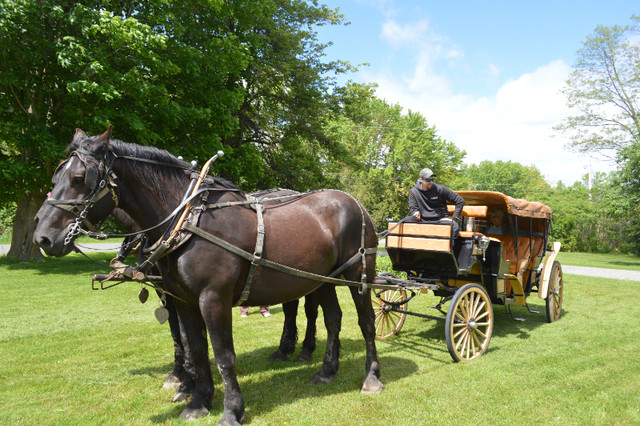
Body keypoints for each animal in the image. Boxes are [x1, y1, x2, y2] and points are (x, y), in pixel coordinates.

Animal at [33, 128, 380, 424]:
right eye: (55, 176)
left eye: (79, 178)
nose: (42, 237)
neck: (188, 221)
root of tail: (355, 202)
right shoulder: (183, 300)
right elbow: (196, 348)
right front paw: (197, 400)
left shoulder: (213, 299)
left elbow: (224, 355)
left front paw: (231, 410)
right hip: (322, 279)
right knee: (332, 318)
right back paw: (326, 370)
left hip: (359, 276)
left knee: (365, 323)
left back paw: (371, 377)